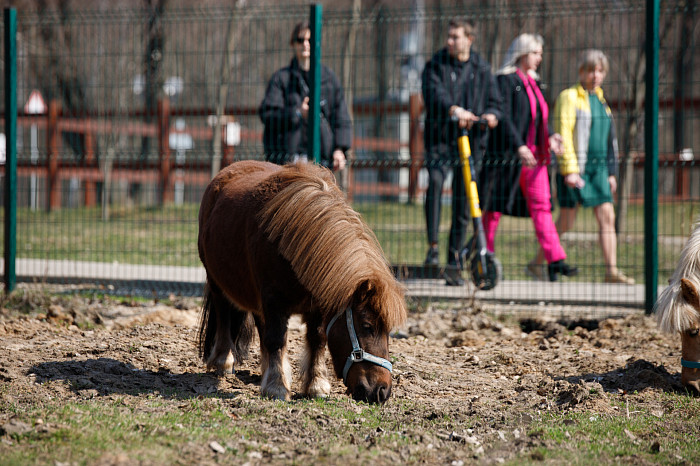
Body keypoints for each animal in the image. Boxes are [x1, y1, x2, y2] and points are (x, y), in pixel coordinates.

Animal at [197, 159, 404, 400]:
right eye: (367, 326)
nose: (381, 391)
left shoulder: (317, 307)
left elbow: (317, 339)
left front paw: (316, 386)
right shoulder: (273, 300)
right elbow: (276, 339)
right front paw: (277, 387)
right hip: (216, 280)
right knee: (223, 314)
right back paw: (223, 361)